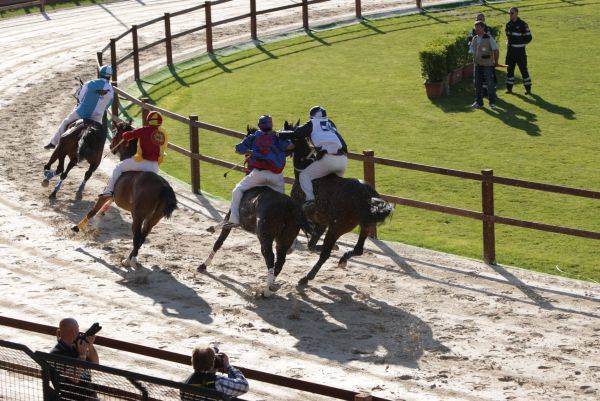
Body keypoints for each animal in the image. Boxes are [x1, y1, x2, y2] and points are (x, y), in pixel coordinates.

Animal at [71, 119, 177, 268]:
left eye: (116, 132)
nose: (110, 146)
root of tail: (164, 187)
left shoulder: (106, 194)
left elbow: (93, 210)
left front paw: (76, 228)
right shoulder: (114, 197)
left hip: (138, 216)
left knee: (137, 236)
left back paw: (128, 261)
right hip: (154, 219)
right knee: (143, 236)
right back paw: (131, 258)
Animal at [198, 125, 310, 296]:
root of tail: (289, 207)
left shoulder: (231, 217)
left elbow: (219, 240)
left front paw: (203, 265)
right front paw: (210, 229)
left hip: (265, 236)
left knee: (270, 259)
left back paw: (265, 291)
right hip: (285, 238)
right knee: (280, 261)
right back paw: (271, 286)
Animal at [282, 119, 392, 284]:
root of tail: (366, 194)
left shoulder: (305, 214)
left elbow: (309, 241)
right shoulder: (321, 222)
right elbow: (311, 243)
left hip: (336, 228)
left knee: (325, 254)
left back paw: (307, 277)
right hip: (365, 224)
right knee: (358, 250)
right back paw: (342, 260)